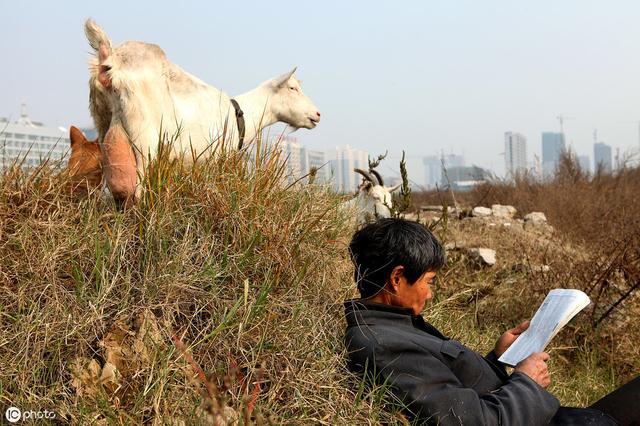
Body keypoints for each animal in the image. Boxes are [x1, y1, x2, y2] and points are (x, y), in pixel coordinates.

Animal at [85, 20, 322, 205]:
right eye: (293, 88)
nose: (317, 114)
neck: (242, 116)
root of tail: (112, 62)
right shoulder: (219, 158)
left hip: (104, 124)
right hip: (146, 140)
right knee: (139, 191)